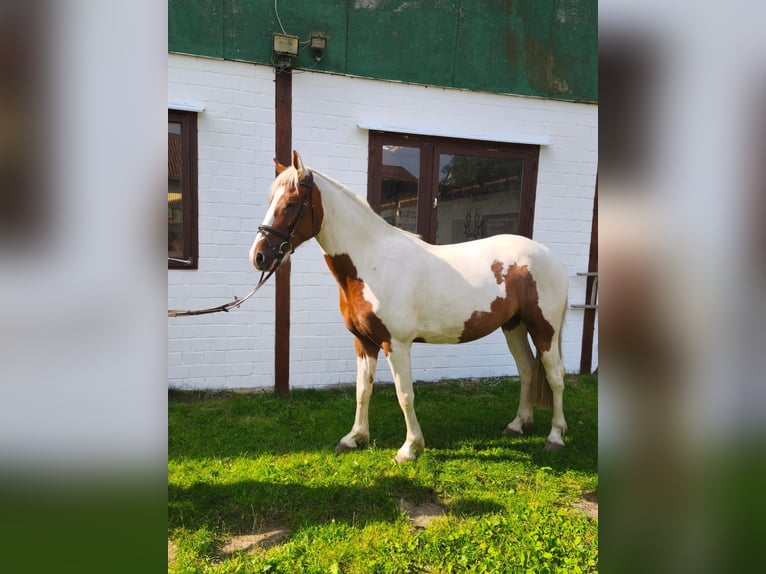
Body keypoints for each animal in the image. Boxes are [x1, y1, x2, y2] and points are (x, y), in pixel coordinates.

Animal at [250, 151, 569, 462]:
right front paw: (355, 438)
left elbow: (405, 394)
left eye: (291, 203)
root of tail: (550, 256)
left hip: (544, 329)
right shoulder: (364, 341)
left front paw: (410, 448)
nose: (259, 256)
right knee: (527, 369)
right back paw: (518, 425)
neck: (372, 262)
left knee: (555, 376)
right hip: (513, 325)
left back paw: (555, 437)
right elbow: (362, 389)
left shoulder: (397, 344)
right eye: (270, 201)